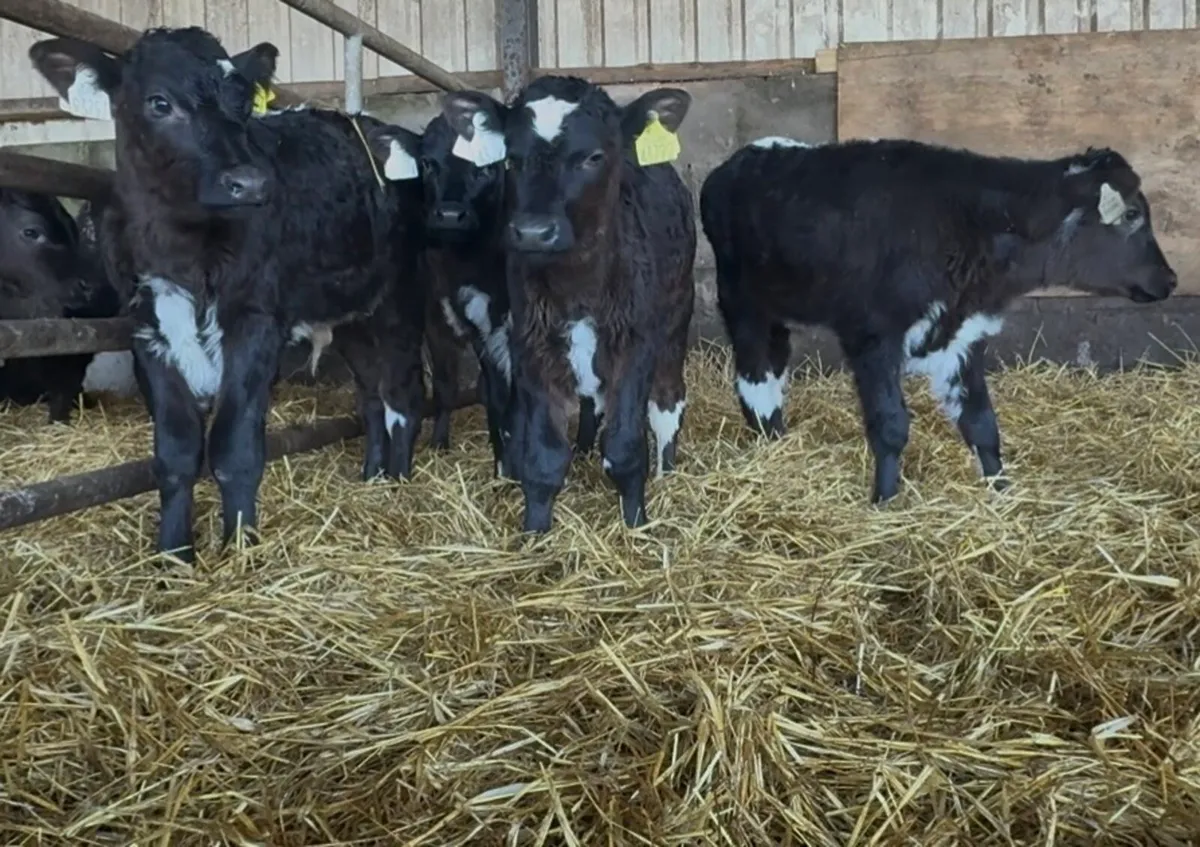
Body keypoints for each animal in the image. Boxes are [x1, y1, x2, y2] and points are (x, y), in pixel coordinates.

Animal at [30, 27, 428, 563]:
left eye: (242, 104)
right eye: (159, 102)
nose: (251, 183)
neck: (181, 248)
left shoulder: (255, 323)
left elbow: (234, 446)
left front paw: (241, 549)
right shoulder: (147, 330)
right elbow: (175, 452)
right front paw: (173, 555)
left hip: (401, 295)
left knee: (403, 394)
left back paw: (399, 481)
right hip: (350, 314)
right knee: (371, 396)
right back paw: (373, 477)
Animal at [438, 75, 698, 533]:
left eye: (593, 157)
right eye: (511, 159)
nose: (533, 232)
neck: (578, 288)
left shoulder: (635, 345)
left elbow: (626, 449)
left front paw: (636, 523)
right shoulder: (531, 345)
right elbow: (542, 458)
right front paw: (535, 534)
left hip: (676, 317)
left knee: (667, 403)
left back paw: (667, 472)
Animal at [699, 137, 1178, 504]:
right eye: (1132, 215)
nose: (1171, 279)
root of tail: (739, 161)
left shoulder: (963, 336)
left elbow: (981, 423)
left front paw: (1003, 495)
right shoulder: (874, 337)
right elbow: (891, 426)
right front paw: (885, 502)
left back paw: (777, 441)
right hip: (742, 303)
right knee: (755, 378)